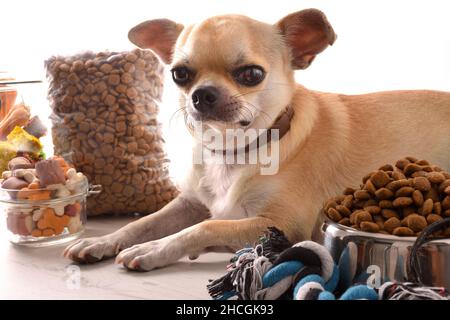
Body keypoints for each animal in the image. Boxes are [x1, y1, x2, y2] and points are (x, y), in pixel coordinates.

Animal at [64, 9, 450, 270]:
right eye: (179, 74)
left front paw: (154, 249)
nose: (202, 94)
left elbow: (207, 226)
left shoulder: (282, 225)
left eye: (251, 74)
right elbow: (142, 223)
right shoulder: (189, 203)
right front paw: (103, 240)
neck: (233, 152)